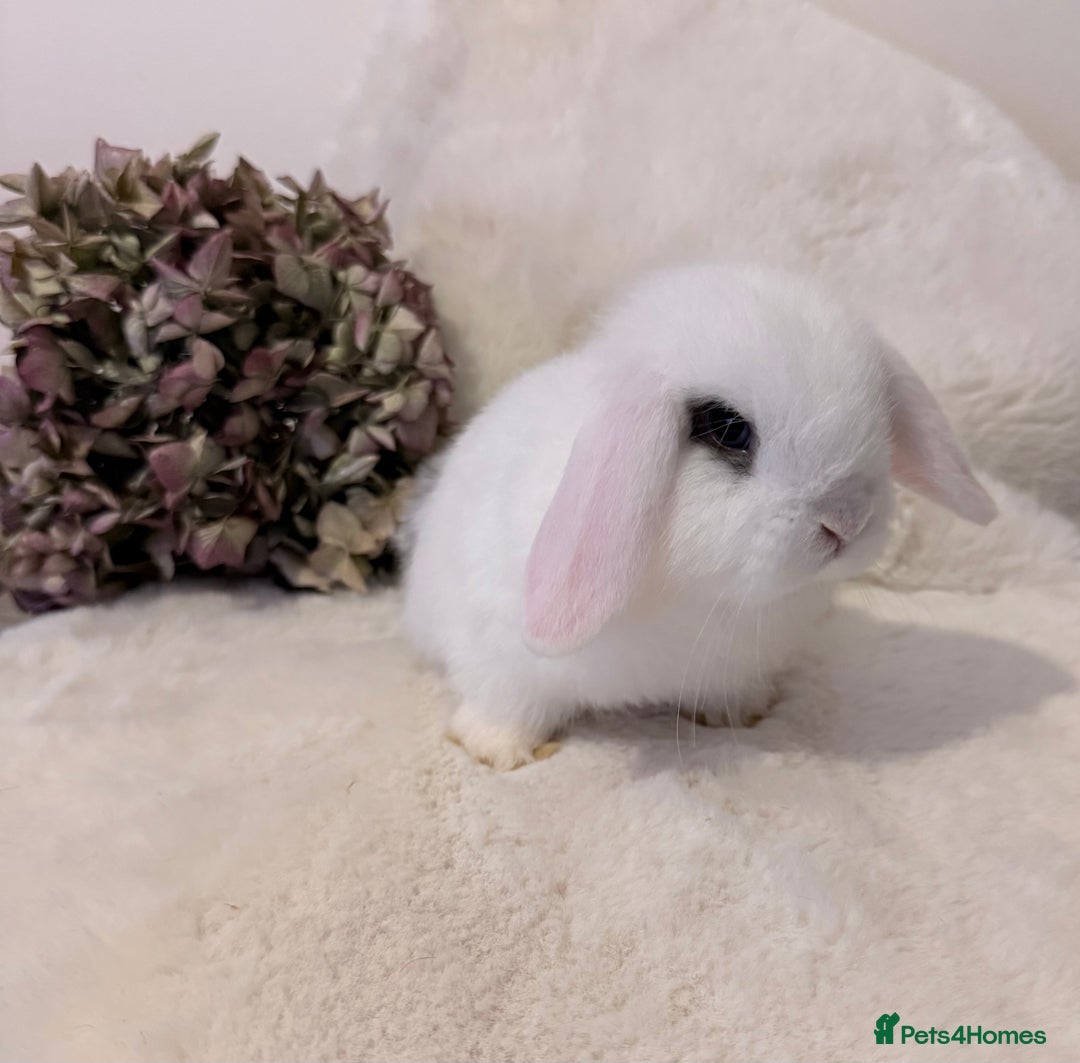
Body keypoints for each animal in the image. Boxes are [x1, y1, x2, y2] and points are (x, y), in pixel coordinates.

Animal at [402, 263, 996, 770]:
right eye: (728, 429)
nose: (846, 521)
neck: (701, 595)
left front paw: (743, 713)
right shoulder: (496, 648)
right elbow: (506, 702)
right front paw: (496, 750)